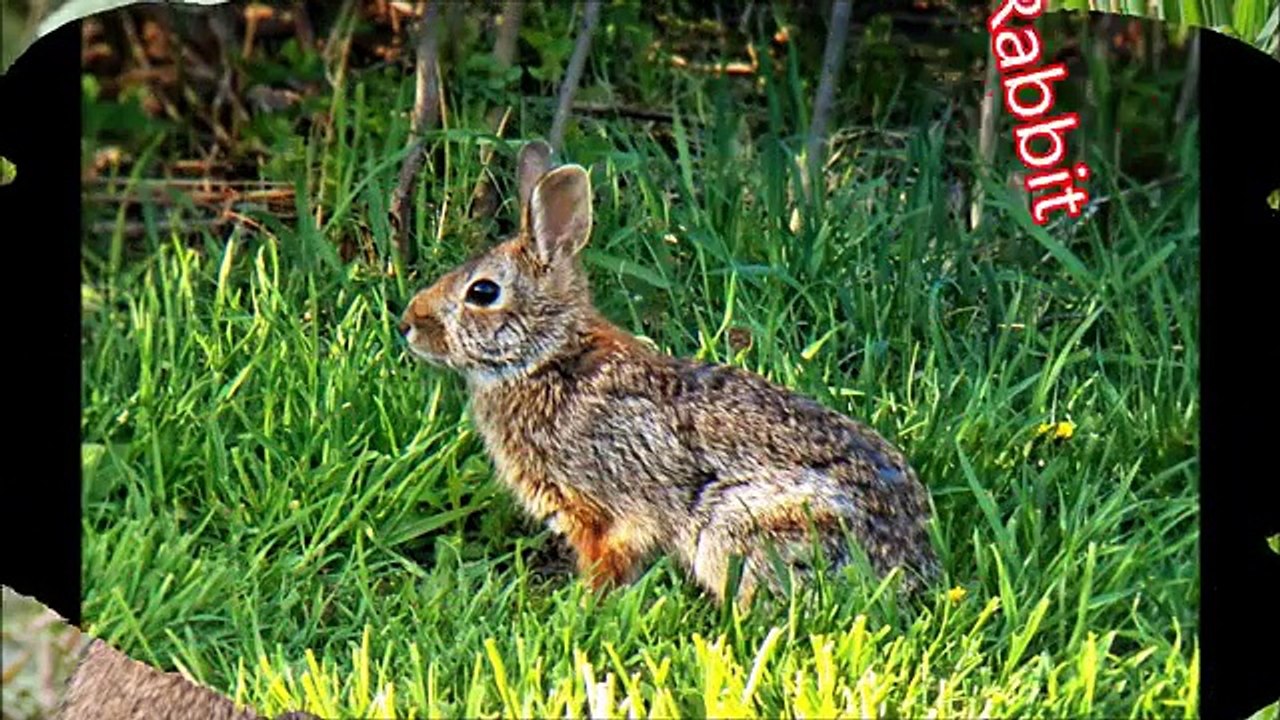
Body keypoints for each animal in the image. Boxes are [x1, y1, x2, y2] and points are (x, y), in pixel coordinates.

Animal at [398, 140, 940, 607]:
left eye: (482, 292)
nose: (407, 324)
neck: (549, 357)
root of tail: (909, 571)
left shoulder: (608, 511)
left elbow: (610, 560)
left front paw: (584, 606)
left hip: (740, 524)